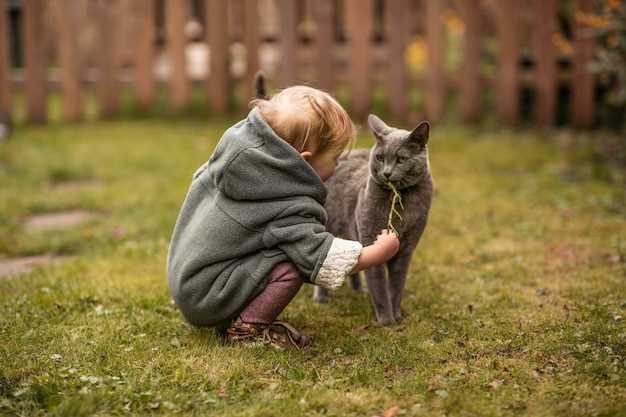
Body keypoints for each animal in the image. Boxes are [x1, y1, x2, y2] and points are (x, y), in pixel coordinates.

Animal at [314, 114, 432, 324]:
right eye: (380, 157)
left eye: (401, 159)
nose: (386, 173)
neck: (400, 200)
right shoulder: (370, 236)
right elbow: (379, 285)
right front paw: (386, 321)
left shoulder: (406, 249)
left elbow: (396, 285)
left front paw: (397, 316)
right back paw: (322, 299)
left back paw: (358, 291)